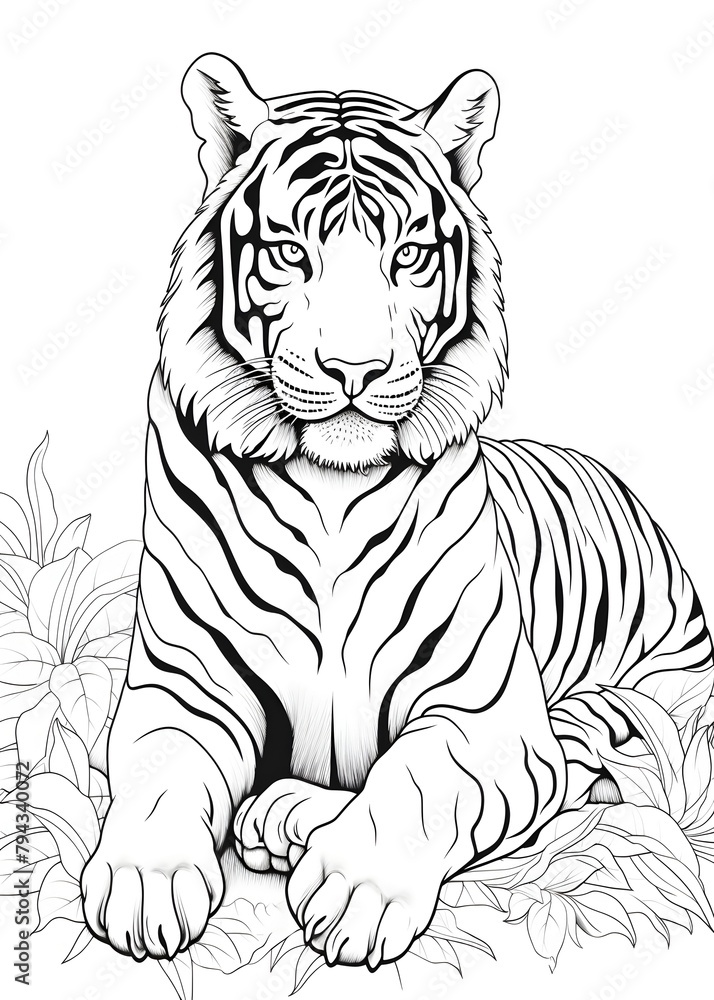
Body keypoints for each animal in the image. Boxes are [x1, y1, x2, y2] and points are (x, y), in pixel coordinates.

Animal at [80, 53, 714, 970]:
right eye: (290, 254)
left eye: (408, 255)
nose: (355, 370)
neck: (329, 489)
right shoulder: (183, 686)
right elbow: (159, 776)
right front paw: (144, 882)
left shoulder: (484, 713)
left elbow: (415, 779)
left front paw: (359, 893)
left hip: (642, 696)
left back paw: (286, 817)